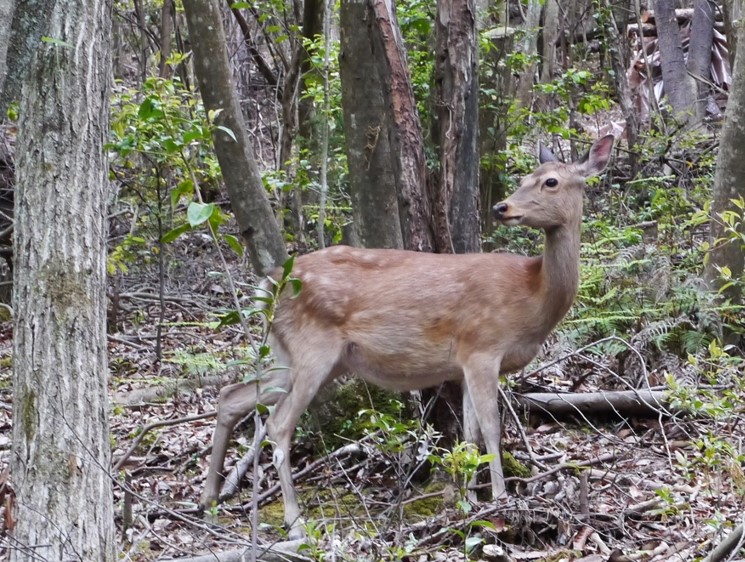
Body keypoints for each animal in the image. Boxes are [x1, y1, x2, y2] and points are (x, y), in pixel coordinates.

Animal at [200, 135, 615, 539]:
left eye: (550, 181)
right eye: (527, 177)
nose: (502, 207)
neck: (531, 297)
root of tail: (267, 285)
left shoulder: (465, 361)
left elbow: (470, 435)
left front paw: (466, 500)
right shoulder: (483, 346)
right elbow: (492, 429)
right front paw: (500, 500)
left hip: (297, 354)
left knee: (232, 396)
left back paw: (211, 498)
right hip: (312, 347)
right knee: (278, 424)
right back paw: (294, 521)